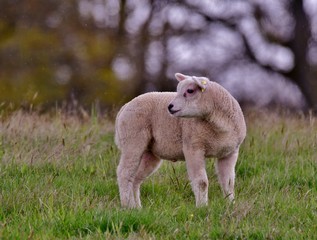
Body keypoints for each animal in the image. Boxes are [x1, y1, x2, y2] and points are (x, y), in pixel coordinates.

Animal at [115, 72, 246, 208]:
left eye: (190, 90)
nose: (169, 107)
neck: (219, 126)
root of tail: (124, 107)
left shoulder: (230, 152)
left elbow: (229, 182)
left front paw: (231, 204)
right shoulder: (193, 147)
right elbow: (202, 182)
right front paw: (202, 207)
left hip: (149, 152)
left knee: (135, 178)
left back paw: (137, 207)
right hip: (132, 139)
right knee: (124, 173)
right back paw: (127, 206)